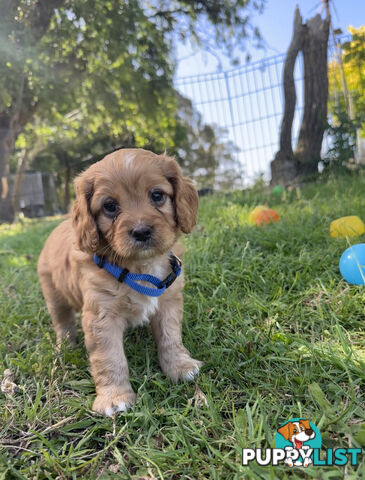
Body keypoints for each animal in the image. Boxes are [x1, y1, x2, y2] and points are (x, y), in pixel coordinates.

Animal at [37, 150, 202, 416]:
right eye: (110, 207)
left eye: (157, 195)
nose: (141, 231)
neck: (139, 267)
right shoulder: (101, 317)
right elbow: (109, 358)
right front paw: (114, 397)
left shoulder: (168, 302)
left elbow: (171, 337)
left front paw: (180, 366)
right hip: (54, 294)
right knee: (62, 322)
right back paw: (66, 346)